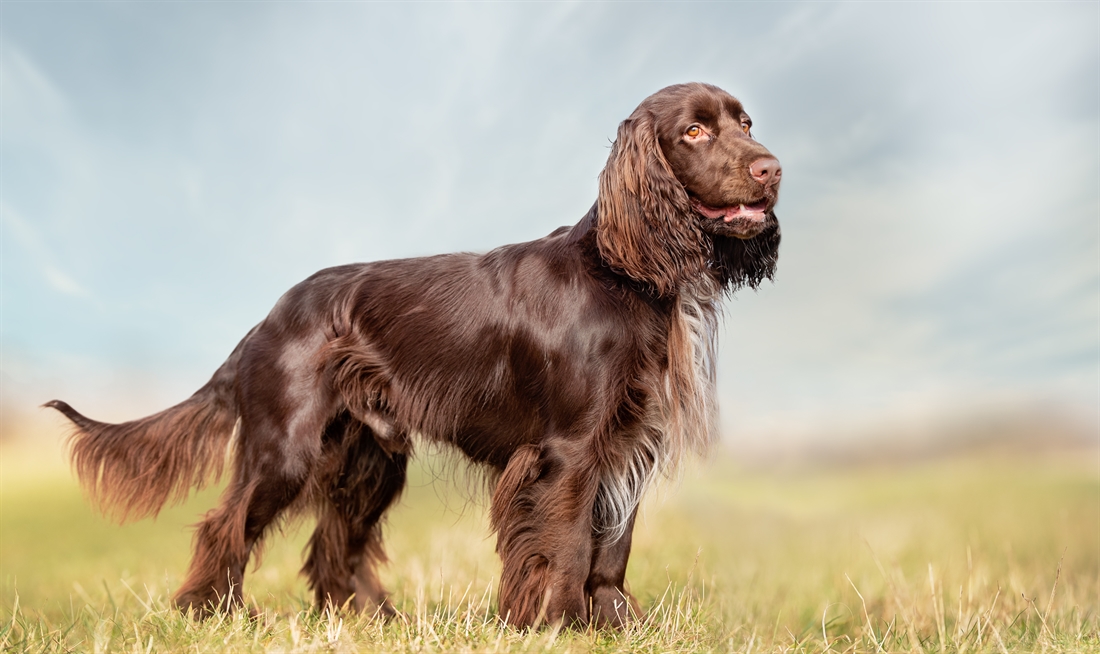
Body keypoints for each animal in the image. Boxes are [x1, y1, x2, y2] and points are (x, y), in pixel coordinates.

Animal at [45, 81, 783, 628]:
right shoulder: (569, 450)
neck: (625, 270)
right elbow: (569, 542)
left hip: (369, 457)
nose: (771, 168)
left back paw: (369, 618)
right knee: (224, 524)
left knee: (332, 544)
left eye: (746, 121)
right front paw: (559, 624)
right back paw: (214, 613)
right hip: (287, 447)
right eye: (694, 132)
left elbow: (613, 549)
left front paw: (614, 625)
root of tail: (266, 320)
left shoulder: (628, 441)